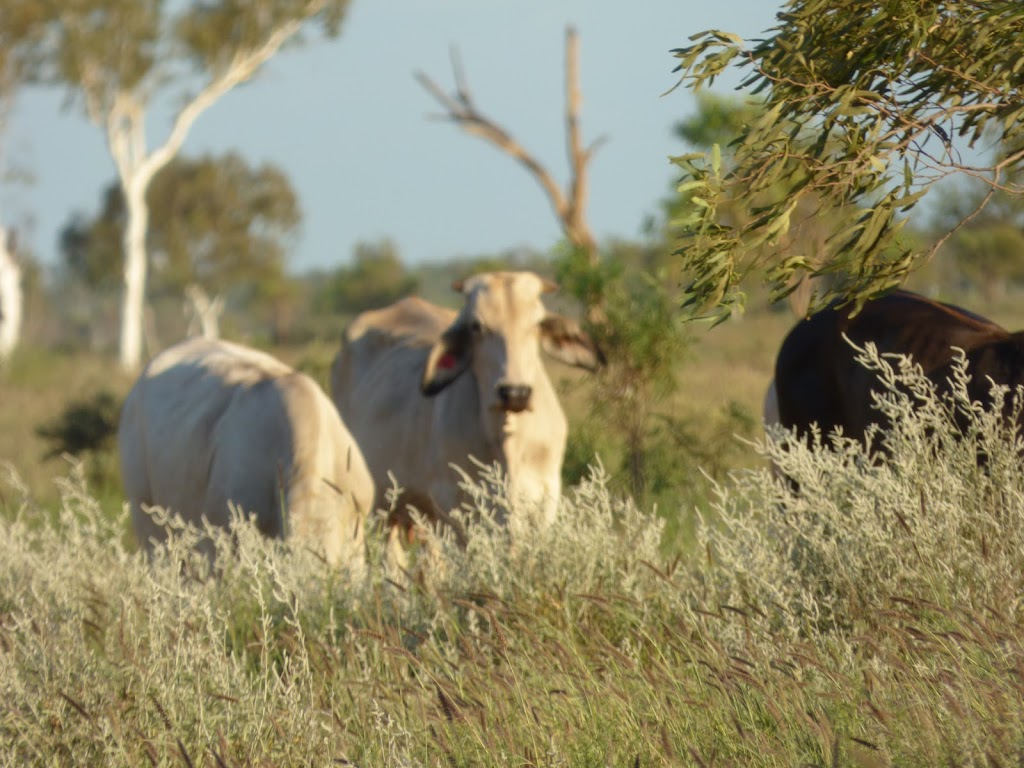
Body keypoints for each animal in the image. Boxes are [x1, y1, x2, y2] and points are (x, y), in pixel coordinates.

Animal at [327, 270, 602, 540]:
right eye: (476, 327)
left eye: (537, 324)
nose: (515, 393)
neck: (507, 440)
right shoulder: (453, 506)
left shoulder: (544, 502)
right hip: (377, 507)